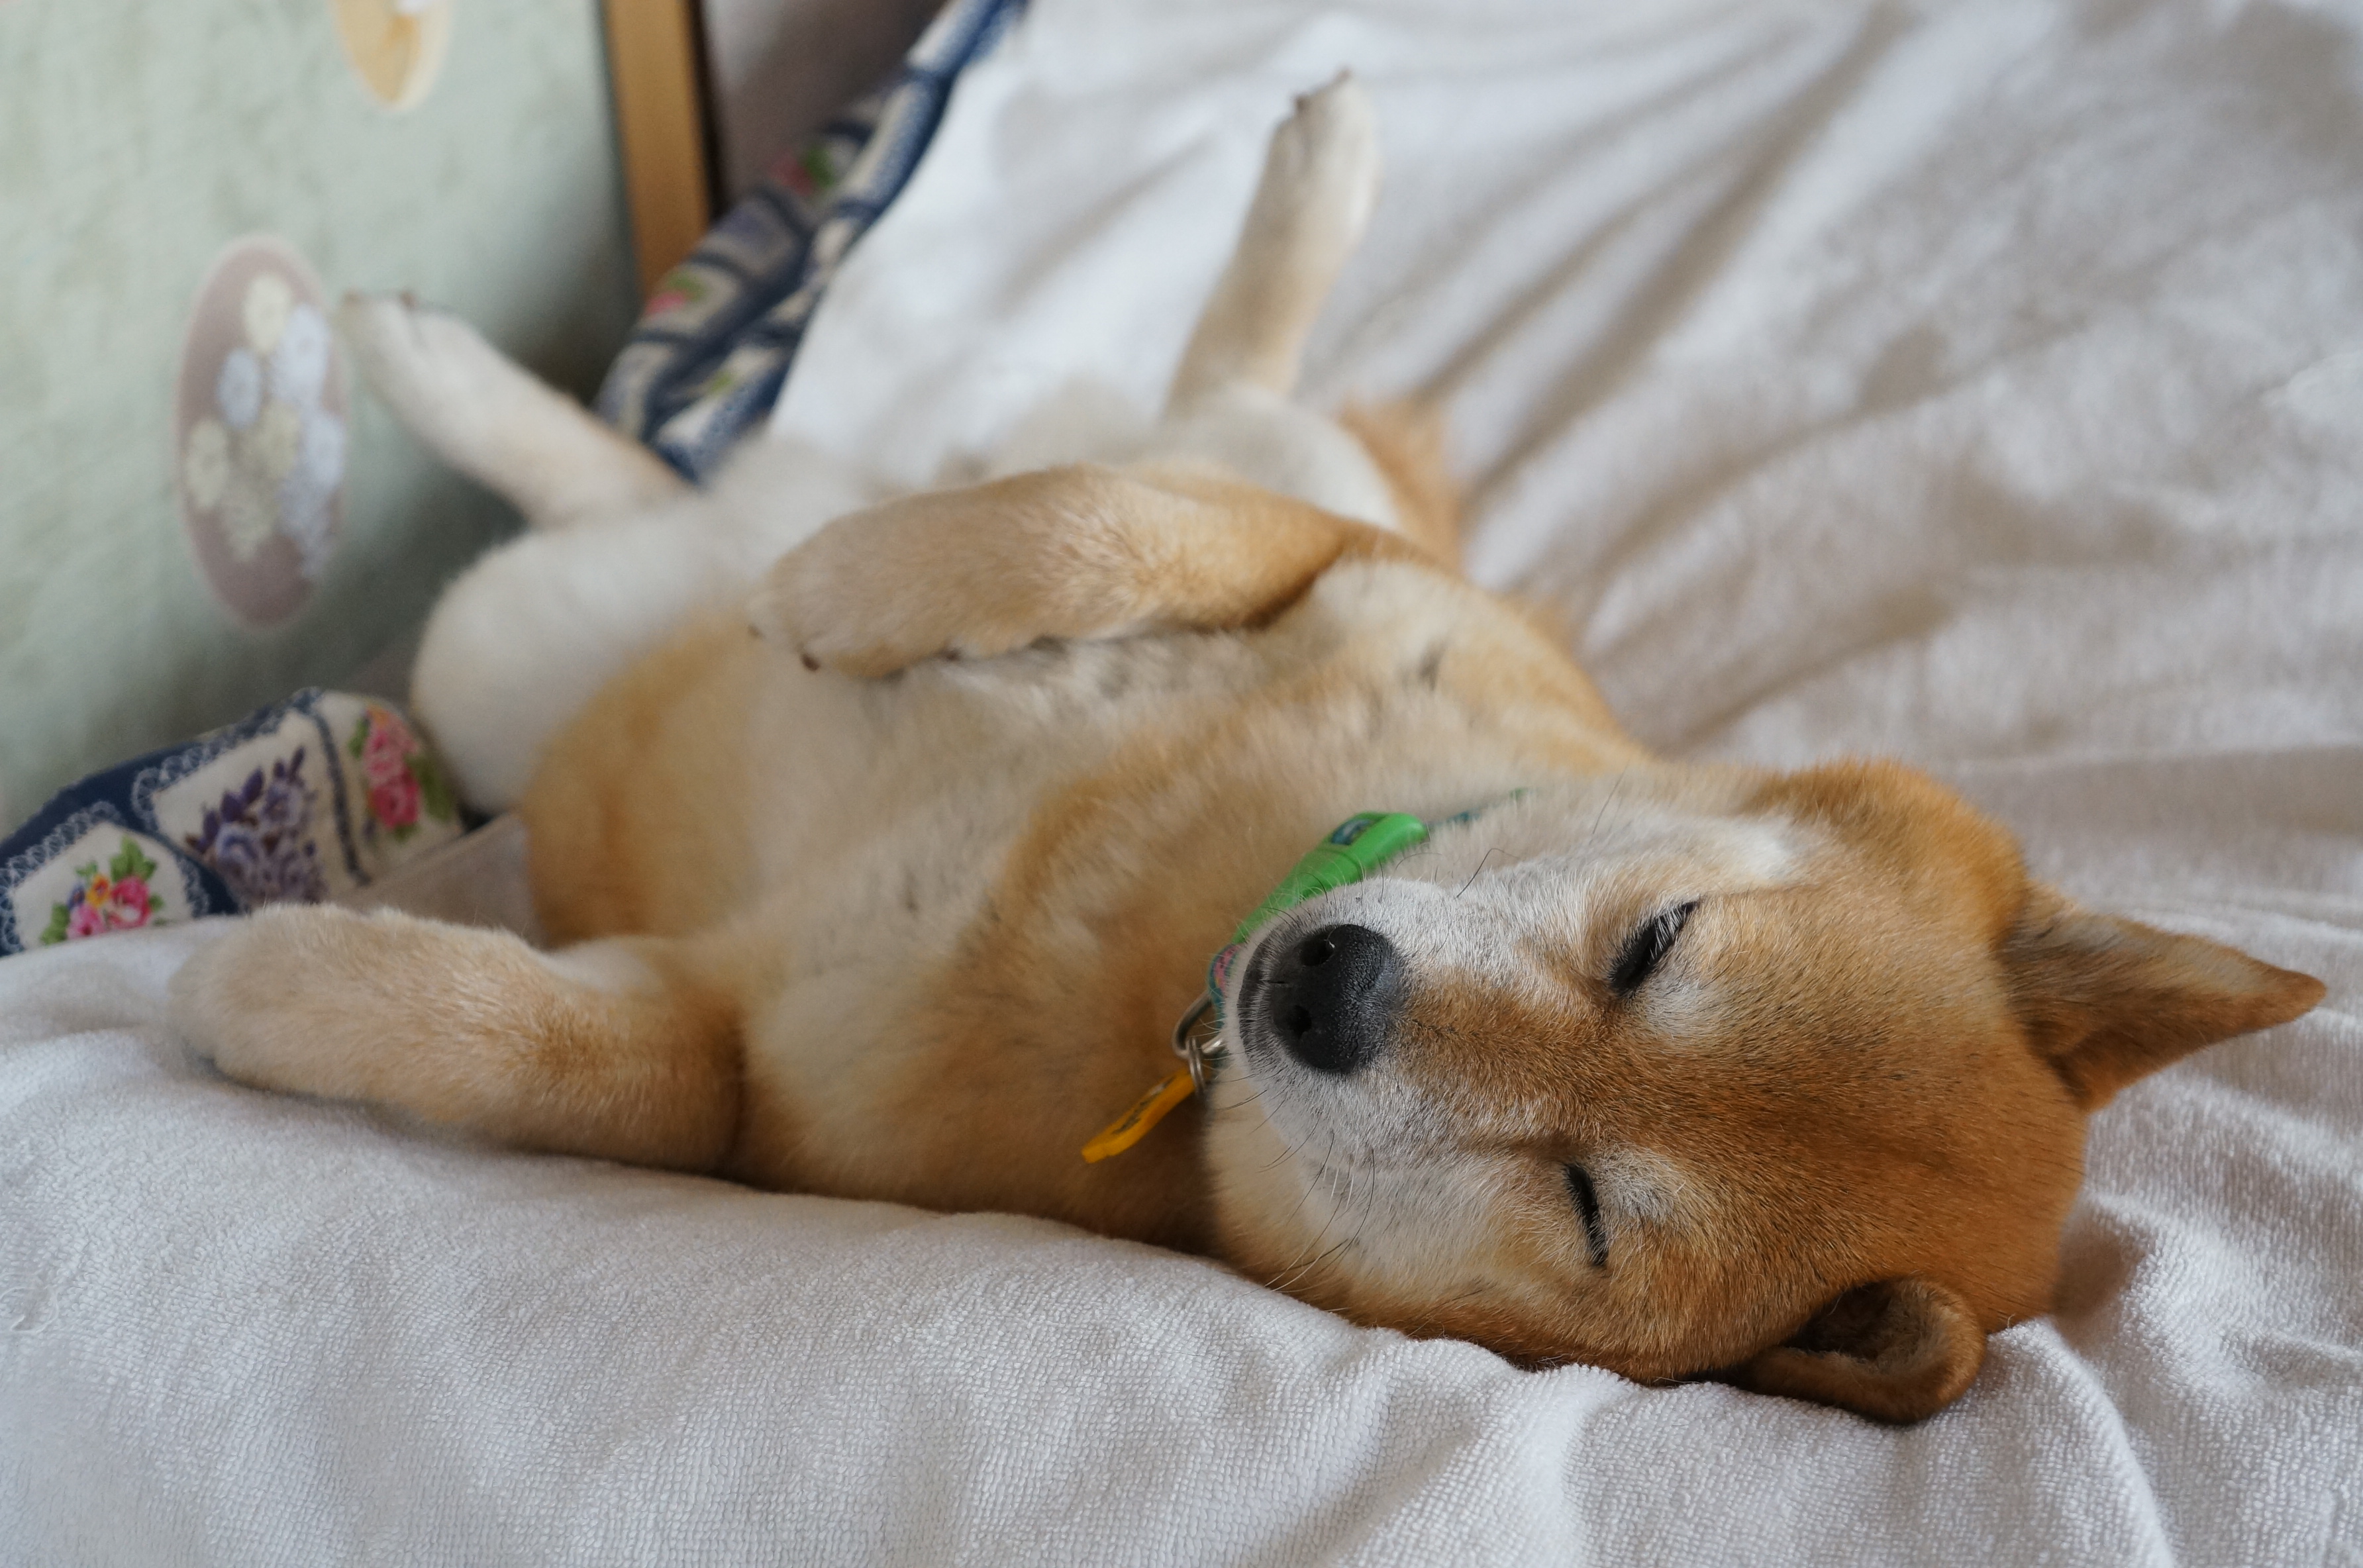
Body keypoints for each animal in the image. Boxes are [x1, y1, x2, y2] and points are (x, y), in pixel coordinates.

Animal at [167, 78, 2323, 1423]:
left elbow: (543, 1049)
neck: (1208, 901)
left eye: (1588, 1206)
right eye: (1656, 944)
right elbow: (1095, 527)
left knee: (630, 502)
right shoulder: (1341, 568)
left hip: (489, 668)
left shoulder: (740, 1081)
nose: (1331, 990)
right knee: (1189, 403)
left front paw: (245, 987)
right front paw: (862, 590)